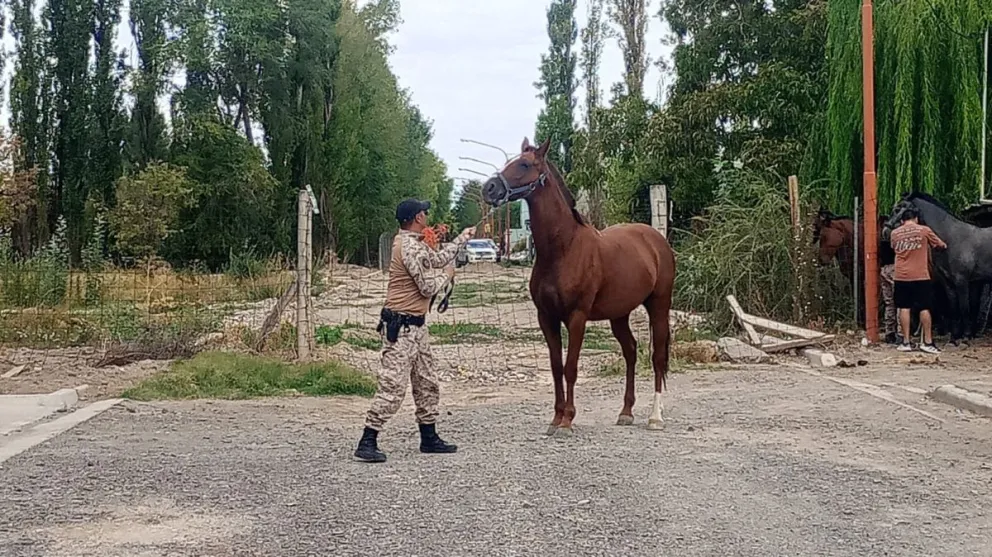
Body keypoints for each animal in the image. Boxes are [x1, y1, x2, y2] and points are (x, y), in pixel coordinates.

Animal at [480, 137, 676, 435]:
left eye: (524, 164)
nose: (489, 188)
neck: (563, 249)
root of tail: (656, 240)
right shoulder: (546, 318)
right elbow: (556, 367)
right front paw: (555, 418)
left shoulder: (576, 317)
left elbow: (571, 367)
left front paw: (567, 420)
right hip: (619, 314)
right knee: (631, 351)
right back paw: (626, 412)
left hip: (659, 305)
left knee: (658, 357)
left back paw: (655, 417)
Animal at [884, 192, 992, 343]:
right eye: (894, 208)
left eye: (902, 210)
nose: (886, 231)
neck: (951, 239)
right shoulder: (948, 283)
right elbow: (954, 308)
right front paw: (954, 337)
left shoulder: (962, 281)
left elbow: (964, 308)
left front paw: (965, 336)